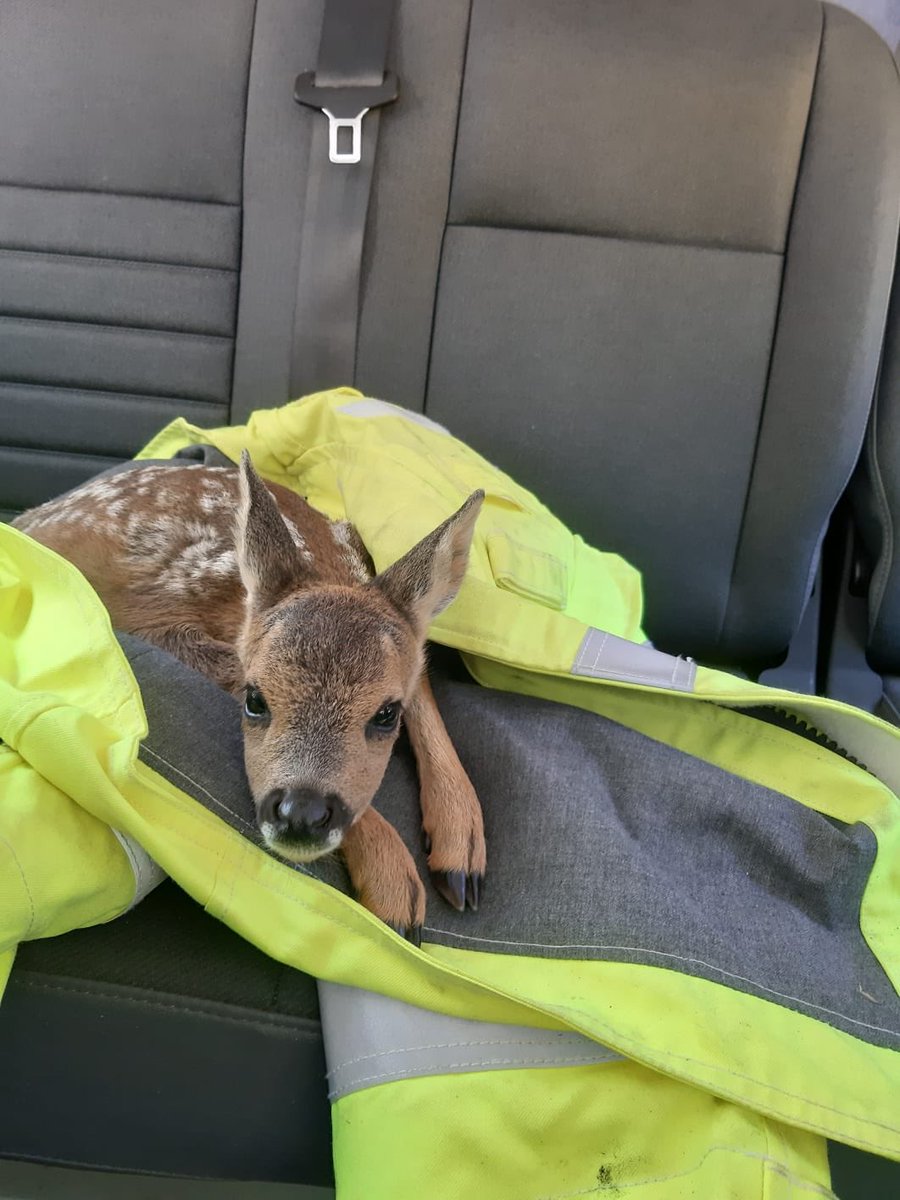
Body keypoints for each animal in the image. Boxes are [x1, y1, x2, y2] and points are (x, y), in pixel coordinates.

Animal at [12, 453, 486, 944]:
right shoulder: (148, 617)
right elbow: (227, 663)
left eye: (386, 714)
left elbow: (421, 671)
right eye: (254, 699)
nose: (301, 814)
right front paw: (395, 886)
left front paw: (462, 852)